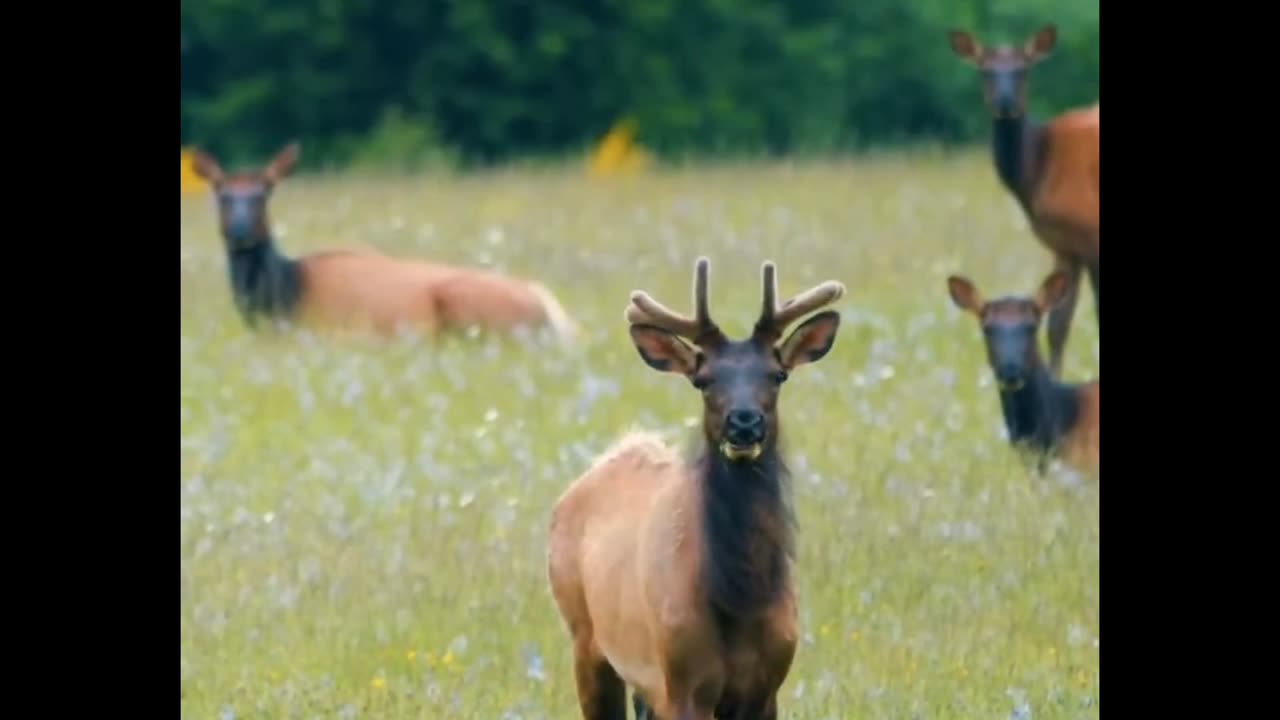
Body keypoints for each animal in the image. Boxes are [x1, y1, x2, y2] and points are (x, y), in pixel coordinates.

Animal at [545, 256, 844, 717]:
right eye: (703, 379)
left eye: (778, 375)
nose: (744, 423)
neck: (739, 600)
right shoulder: (682, 682)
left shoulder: (767, 687)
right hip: (585, 636)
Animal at [952, 25, 1100, 379]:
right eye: (986, 70)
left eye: (1023, 69)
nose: (1005, 102)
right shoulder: (1065, 247)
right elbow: (1057, 327)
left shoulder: (1092, 234)